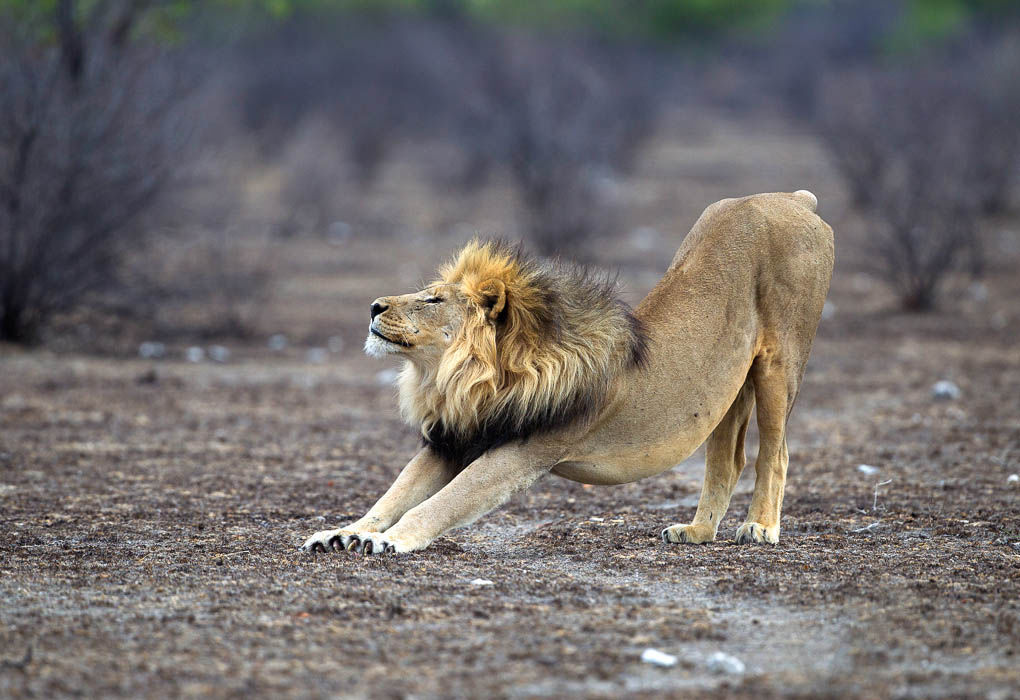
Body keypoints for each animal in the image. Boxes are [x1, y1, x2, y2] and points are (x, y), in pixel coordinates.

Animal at [297, 190, 832, 555]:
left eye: (433, 299)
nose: (373, 306)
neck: (462, 379)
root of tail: (792, 198)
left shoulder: (524, 450)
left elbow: (440, 503)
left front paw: (389, 541)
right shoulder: (454, 439)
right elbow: (392, 496)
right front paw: (343, 531)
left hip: (779, 362)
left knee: (776, 452)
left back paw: (761, 527)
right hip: (727, 386)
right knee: (727, 459)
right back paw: (697, 531)